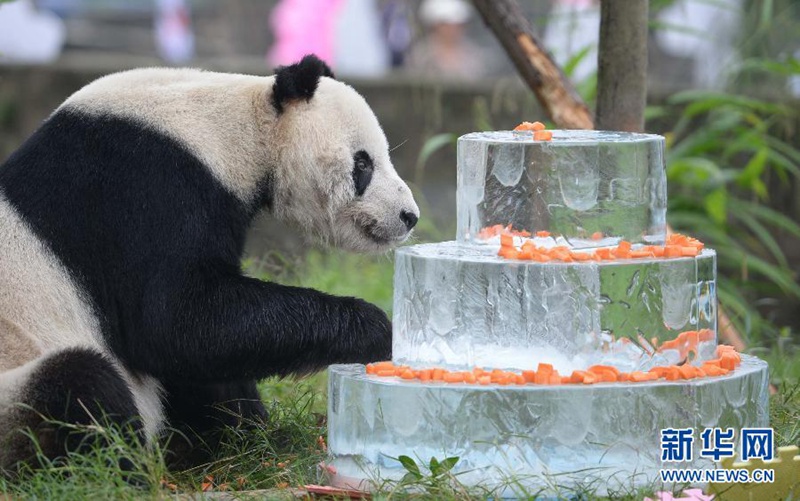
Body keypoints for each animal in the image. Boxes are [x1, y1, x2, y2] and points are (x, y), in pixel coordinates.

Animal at [0, 54, 419, 470]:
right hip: (18, 389)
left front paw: (251, 433)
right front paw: (376, 329)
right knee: (79, 387)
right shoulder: (146, 187)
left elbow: (207, 351)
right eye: (363, 164)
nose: (408, 216)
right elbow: (178, 321)